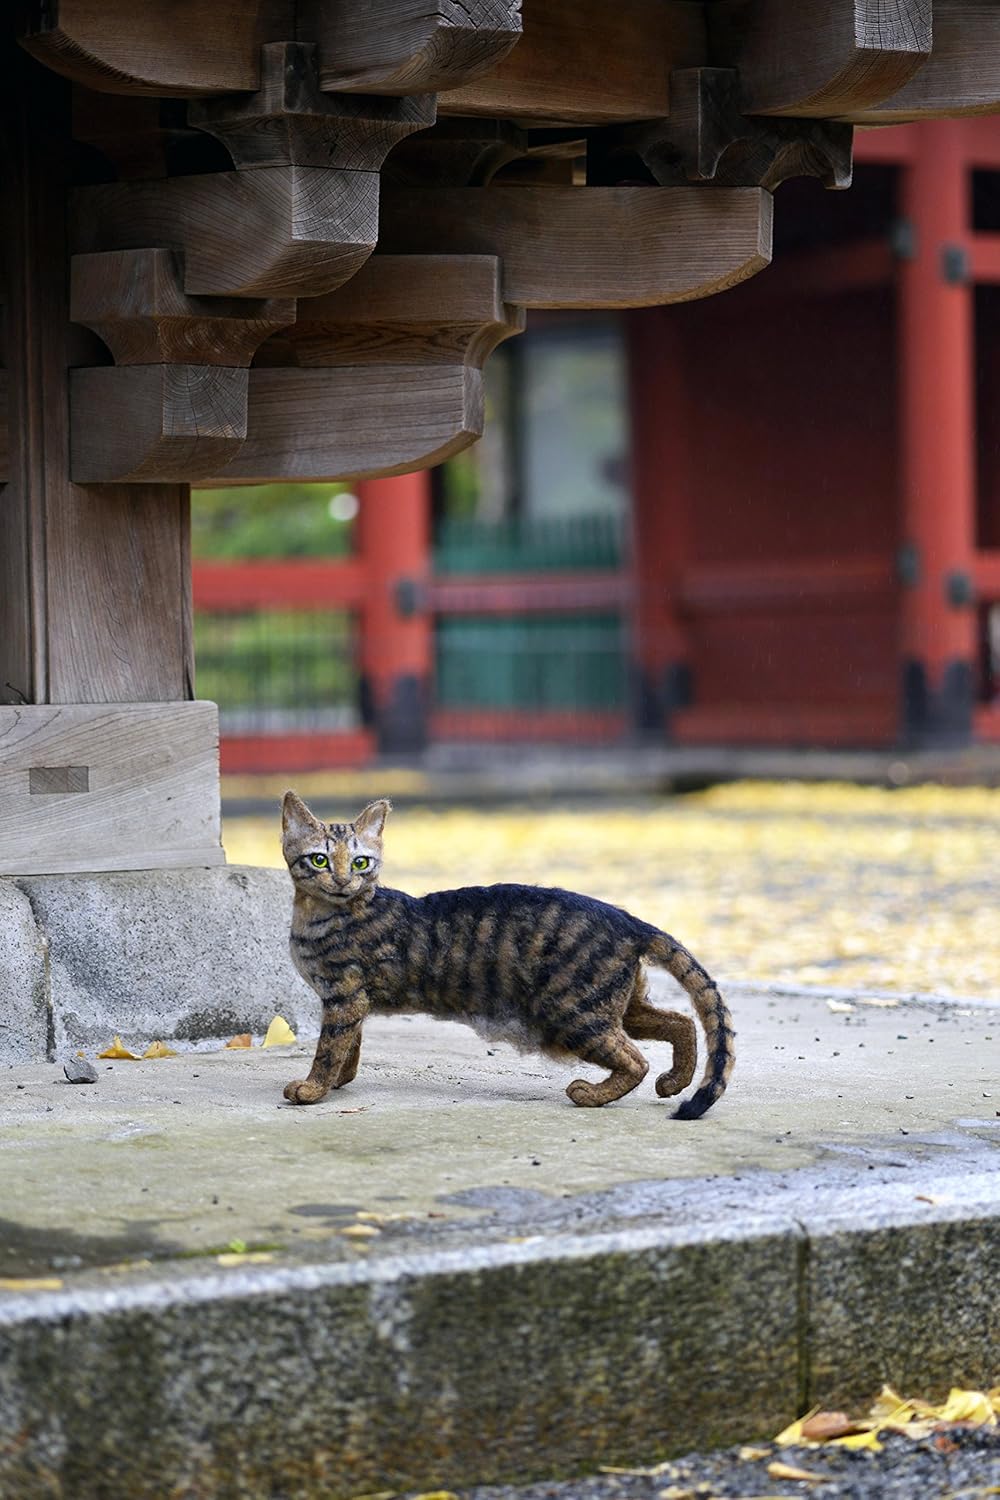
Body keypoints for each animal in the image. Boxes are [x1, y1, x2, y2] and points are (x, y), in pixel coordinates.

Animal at [281, 792, 734, 1122]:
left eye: (361, 862)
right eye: (320, 859)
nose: (343, 880)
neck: (316, 915)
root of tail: (627, 919)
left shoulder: (344, 996)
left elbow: (329, 1049)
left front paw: (312, 1090)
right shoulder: (352, 1001)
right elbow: (350, 1047)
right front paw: (341, 1081)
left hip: (573, 1011)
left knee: (636, 1059)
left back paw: (590, 1094)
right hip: (618, 1004)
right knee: (681, 1022)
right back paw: (673, 1082)